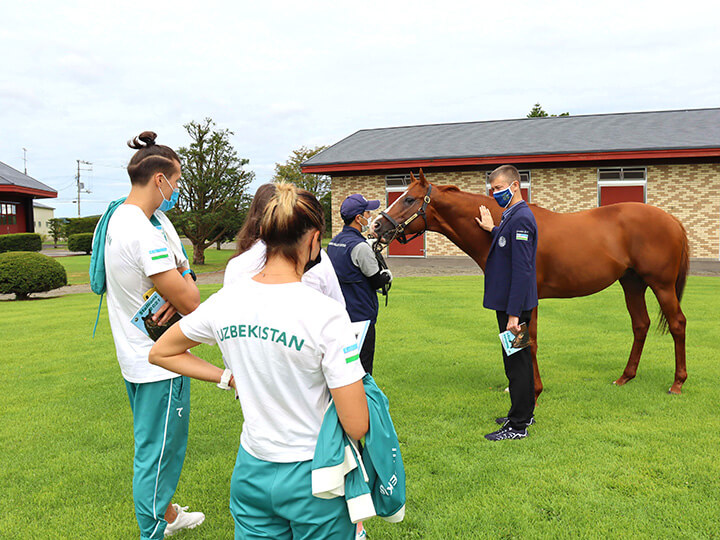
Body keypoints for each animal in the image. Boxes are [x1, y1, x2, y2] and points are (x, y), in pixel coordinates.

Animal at [374, 171, 688, 398]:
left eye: (409, 200)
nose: (377, 226)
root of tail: (672, 219)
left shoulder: (527, 298)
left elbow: (531, 342)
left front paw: (534, 391)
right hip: (632, 283)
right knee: (641, 324)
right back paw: (625, 377)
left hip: (661, 285)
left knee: (677, 324)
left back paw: (677, 383)